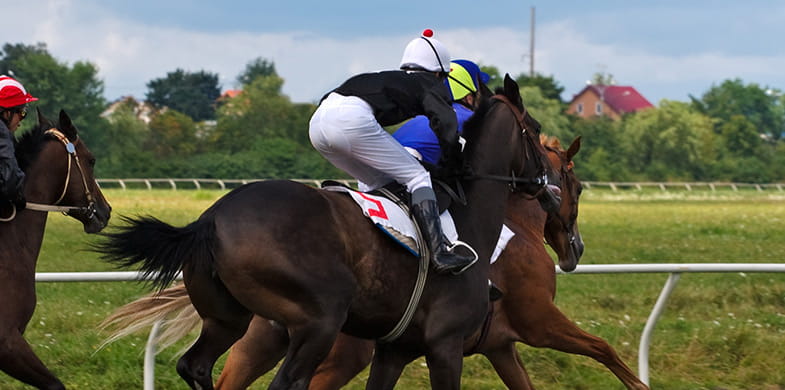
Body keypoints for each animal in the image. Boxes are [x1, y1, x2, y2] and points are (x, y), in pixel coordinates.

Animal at [95, 74, 556, 388]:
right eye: (535, 131)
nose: (547, 185)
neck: (467, 213)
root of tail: (211, 219)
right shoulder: (445, 345)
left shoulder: (394, 349)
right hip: (321, 318)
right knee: (286, 381)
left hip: (228, 317)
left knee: (196, 366)